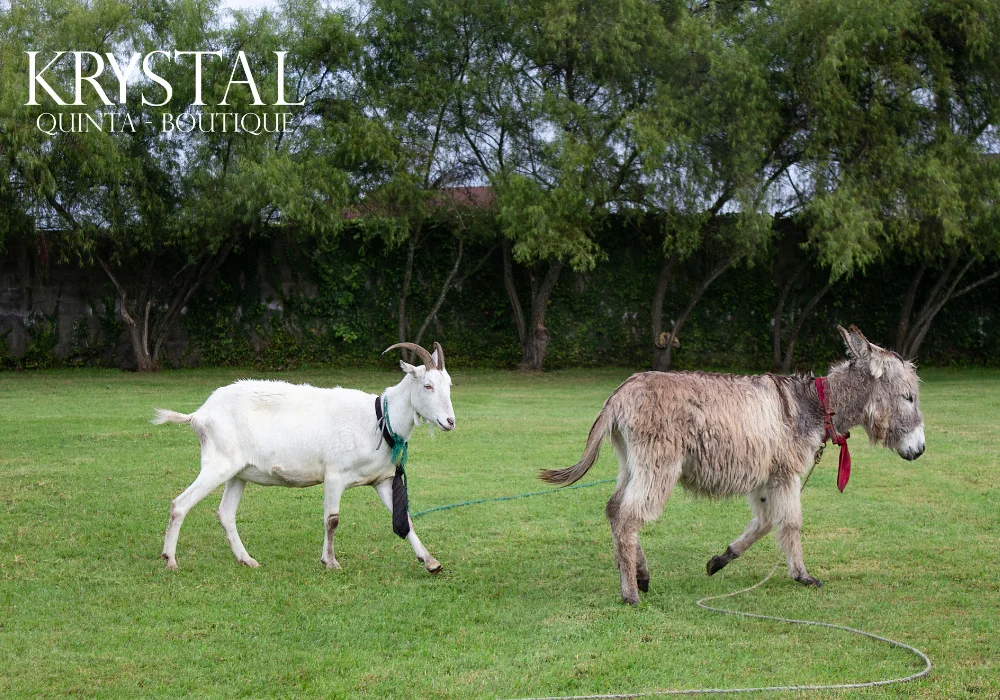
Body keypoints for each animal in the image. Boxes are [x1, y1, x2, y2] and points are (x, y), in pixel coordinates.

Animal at [153, 342, 458, 572]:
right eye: (427, 386)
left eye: (449, 385)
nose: (450, 422)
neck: (378, 418)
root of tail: (199, 414)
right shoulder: (334, 475)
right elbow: (332, 520)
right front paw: (331, 562)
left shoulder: (381, 480)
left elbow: (404, 519)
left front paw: (431, 562)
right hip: (218, 463)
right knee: (179, 504)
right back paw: (170, 561)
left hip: (238, 473)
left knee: (225, 513)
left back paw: (247, 560)